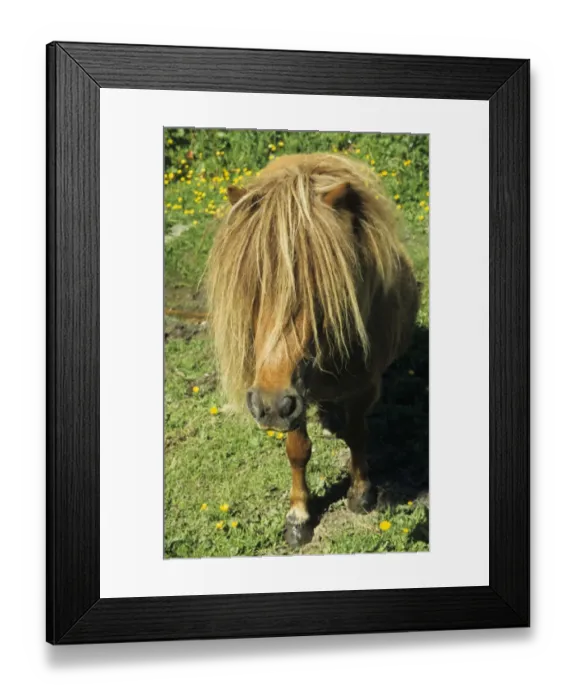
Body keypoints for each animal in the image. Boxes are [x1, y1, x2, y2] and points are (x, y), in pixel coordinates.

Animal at [207, 153, 420, 547]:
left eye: (321, 288)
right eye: (253, 284)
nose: (268, 405)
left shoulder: (359, 386)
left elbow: (358, 433)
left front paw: (361, 493)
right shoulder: (292, 394)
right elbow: (297, 451)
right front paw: (299, 516)